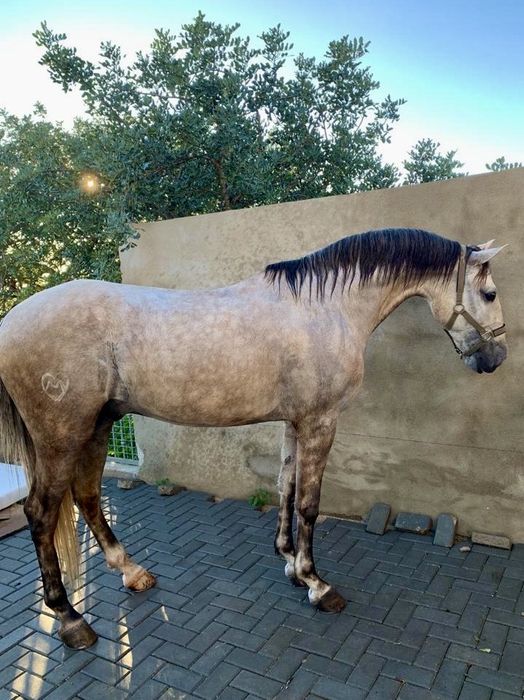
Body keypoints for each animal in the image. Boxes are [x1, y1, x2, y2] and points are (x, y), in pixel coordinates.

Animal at [0, 227, 507, 649]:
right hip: (61, 437)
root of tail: (10, 322)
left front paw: (289, 564)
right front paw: (317, 584)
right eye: (490, 293)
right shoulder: (320, 421)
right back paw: (71, 619)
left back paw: (132, 573)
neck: (324, 309)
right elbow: (309, 504)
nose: (496, 358)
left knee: (87, 496)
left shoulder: (295, 422)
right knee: (41, 513)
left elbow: (286, 487)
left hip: (97, 427)